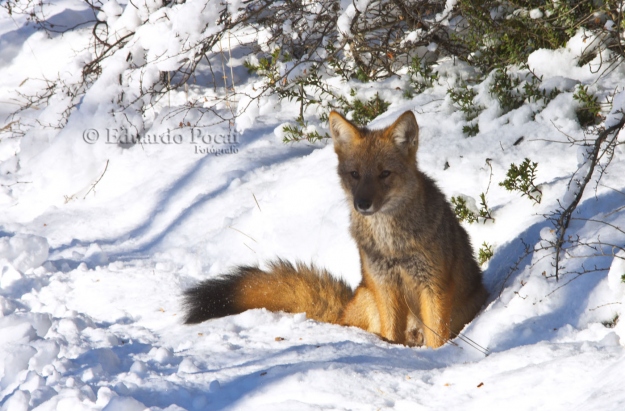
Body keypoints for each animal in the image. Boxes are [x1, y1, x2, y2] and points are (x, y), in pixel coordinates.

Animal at [182, 111, 488, 350]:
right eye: (355, 174)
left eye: (384, 174)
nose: (362, 203)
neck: (391, 245)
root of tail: (345, 303)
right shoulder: (386, 287)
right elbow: (392, 334)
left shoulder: (433, 286)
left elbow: (437, 337)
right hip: (370, 296)